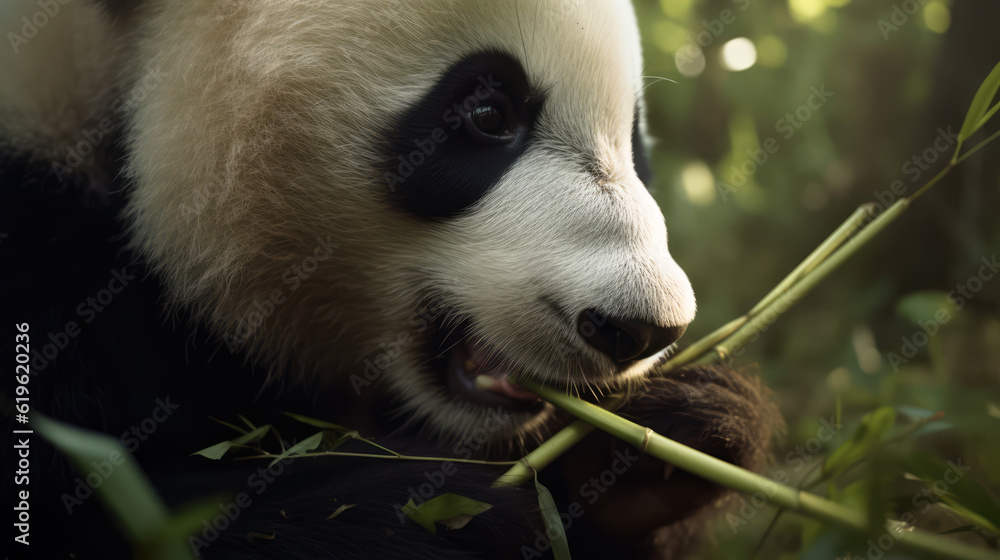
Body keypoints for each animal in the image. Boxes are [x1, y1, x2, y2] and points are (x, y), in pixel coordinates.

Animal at [1, 1, 779, 559]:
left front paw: (664, 444)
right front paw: (453, 519)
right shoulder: (44, 258)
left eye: (633, 135)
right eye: (488, 112)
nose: (639, 328)